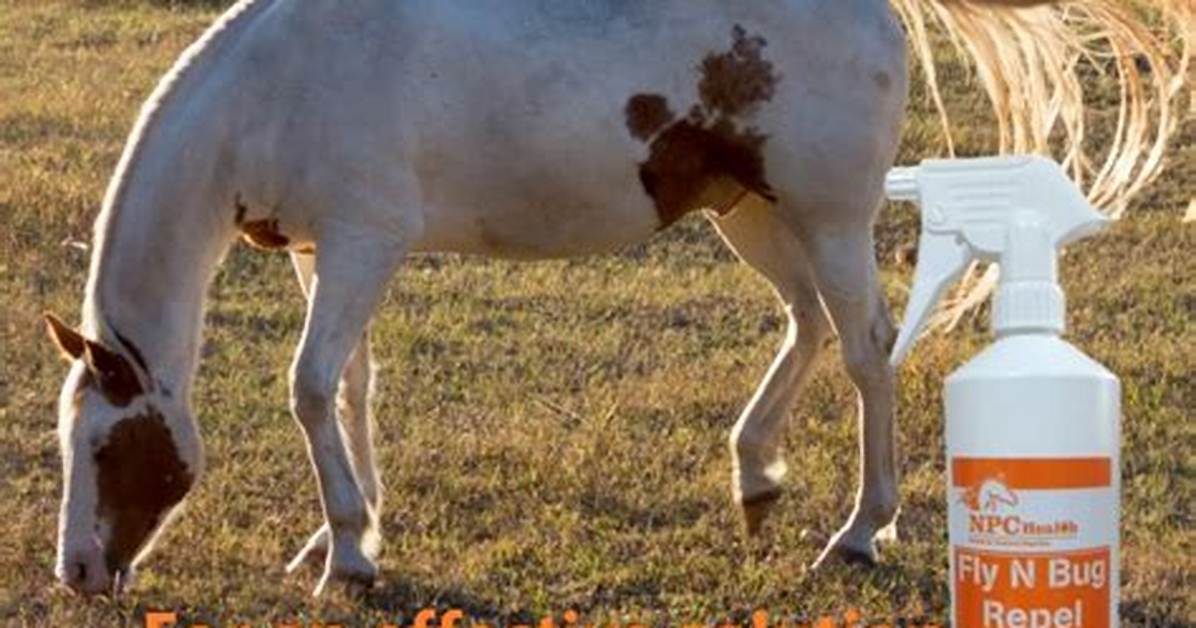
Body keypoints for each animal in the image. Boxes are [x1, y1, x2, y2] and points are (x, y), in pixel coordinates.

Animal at [42, 0, 1189, 596]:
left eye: (106, 447)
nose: (79, 571)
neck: (277, 85)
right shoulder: (323, 252)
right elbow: (351, 388)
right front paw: (343, 538)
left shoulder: (366, 243)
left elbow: (311, 386)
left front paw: (350, 554)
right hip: (751, 214)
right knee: (809, 324)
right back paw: (755, 475)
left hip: (826, 216)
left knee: (865, 343)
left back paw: (861, 529)